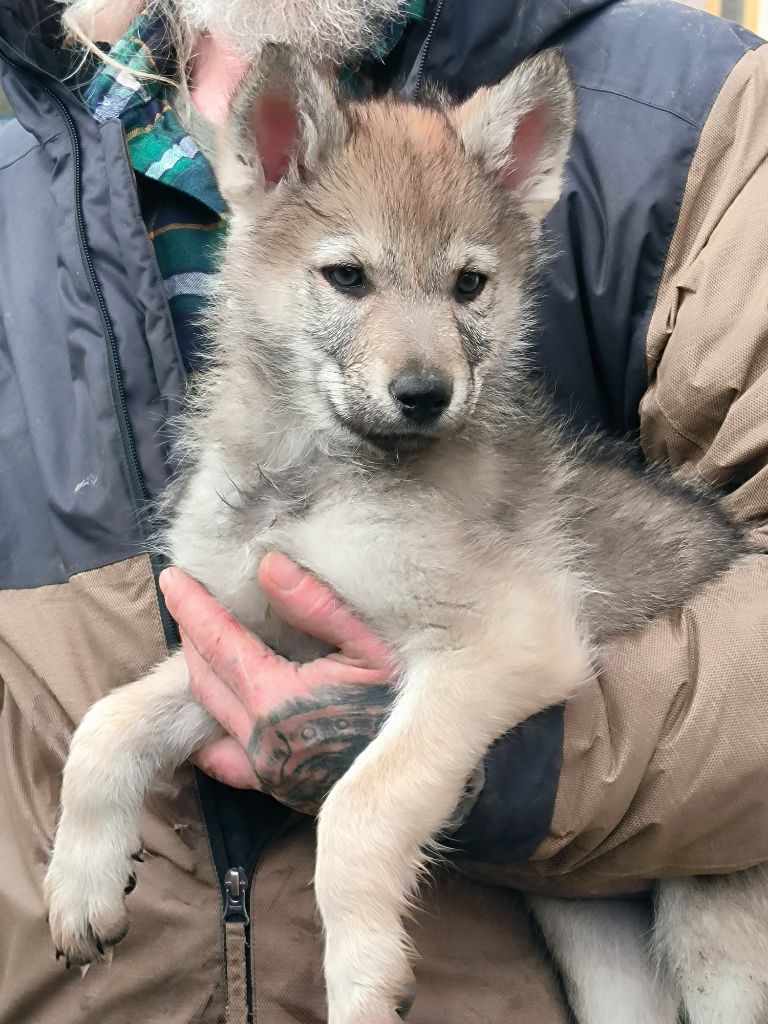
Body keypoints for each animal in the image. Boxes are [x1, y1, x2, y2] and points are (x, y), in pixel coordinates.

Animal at [46, 44, 768, 1024]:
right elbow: (109, 724)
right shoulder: (249, 638)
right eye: (348, 277)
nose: (426, 394)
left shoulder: (500, 646)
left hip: (717, 942)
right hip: (596, 939)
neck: (310, 481)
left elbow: (360, 809)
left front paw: (360, 978)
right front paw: (81, 879)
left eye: (470, 285)